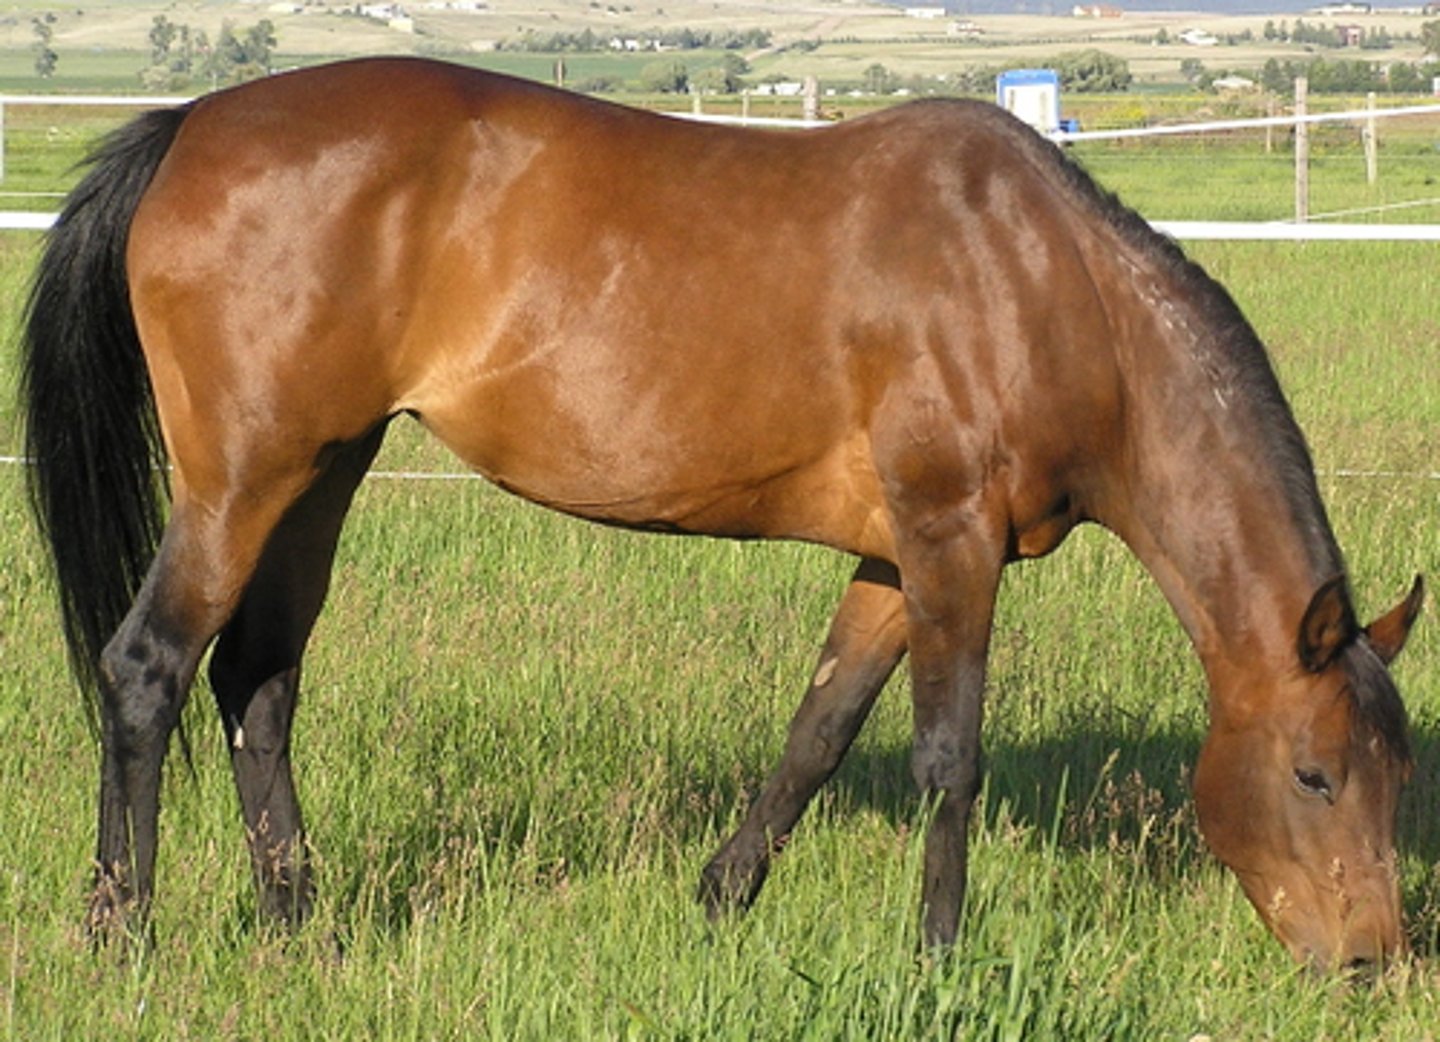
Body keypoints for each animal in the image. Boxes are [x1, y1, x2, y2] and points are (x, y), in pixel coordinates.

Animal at [21, 57, 1423, 970]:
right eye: (1314, 771)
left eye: (1396, 773)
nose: (1371, 960)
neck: (1042, 281)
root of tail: (191, 125)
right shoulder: (951, 542)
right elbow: (948, 758)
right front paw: (940, 959)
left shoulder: (890, 560)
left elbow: (817, 735)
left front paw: (719, 904)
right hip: (241, 481)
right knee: (148, 669)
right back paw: (121, 934)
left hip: (325, 471)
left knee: (256, 681)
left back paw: (297, 924)